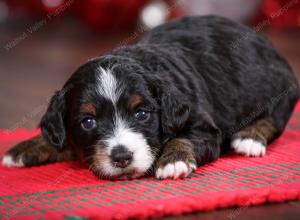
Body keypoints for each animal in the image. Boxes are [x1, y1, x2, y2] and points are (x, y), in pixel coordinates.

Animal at [1, 16, 298, 180]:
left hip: (278, 89)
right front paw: (26, 147)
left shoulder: (203, 126)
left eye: (142, 114)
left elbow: (182, 138)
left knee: (272, 119)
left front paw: (174, 161)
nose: (122, 157)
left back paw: (249, 138)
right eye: (88, 122)